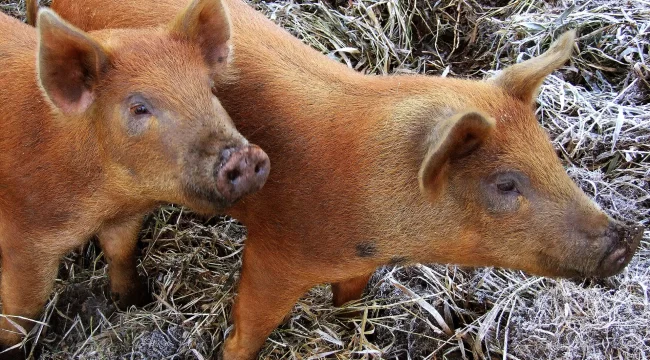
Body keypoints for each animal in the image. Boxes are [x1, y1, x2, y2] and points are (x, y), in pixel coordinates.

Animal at [0, 0, 268, 358]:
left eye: (210, 90)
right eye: (139, 107)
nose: (245, 157)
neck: (103, 201)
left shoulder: (123, 218)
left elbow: (122, 255)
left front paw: (135, 302)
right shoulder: (23, 241)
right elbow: (22, 314)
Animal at [46, 0, 644, 360]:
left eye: (551, 156)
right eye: (505, 184)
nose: (627, 238)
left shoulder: (360, 261)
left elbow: (351, 297)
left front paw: (354, 321)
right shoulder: (276, 250)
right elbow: (252, 321)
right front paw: (232, 352)